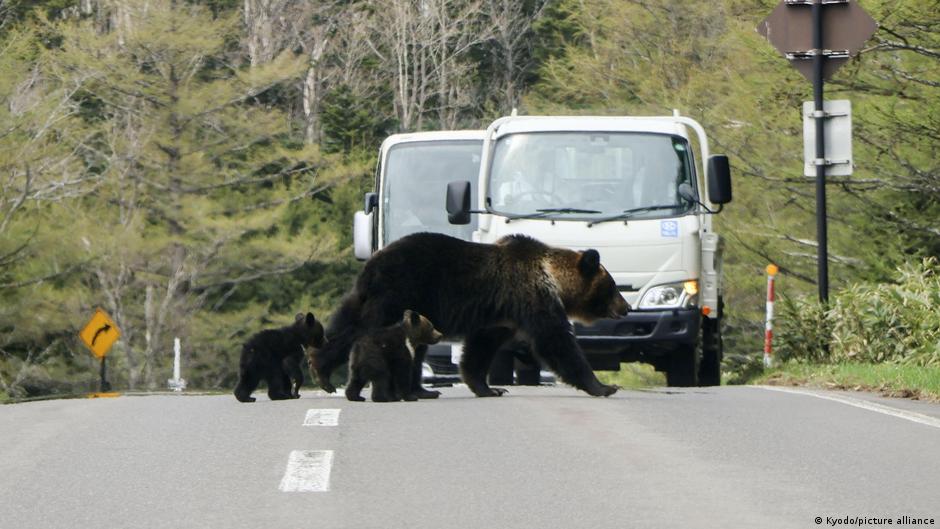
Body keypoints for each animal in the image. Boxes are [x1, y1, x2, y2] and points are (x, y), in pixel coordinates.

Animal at [310, 232, 629, 398]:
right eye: (612, 286)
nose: (625, 307)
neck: (552, 278)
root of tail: (372, 262)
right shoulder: (531, 298)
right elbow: (556, 341)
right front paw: (604, 386)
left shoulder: (501, 317)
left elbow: (480, 348)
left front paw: (488, 388)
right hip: (399, 293)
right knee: (365, 329)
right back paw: (327, 374)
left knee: (354, 325)